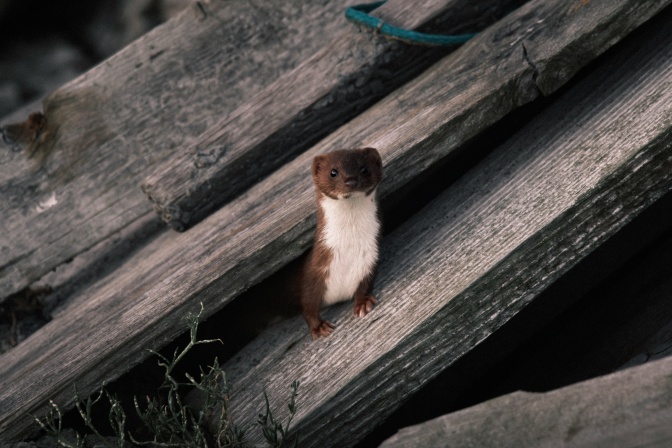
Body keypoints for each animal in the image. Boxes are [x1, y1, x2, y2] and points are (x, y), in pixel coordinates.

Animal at [300, 147, 384, 340]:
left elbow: (364, 284)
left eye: (363, 168)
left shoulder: (370, 257)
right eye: (333, 172)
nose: (351, 180)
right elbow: (307, 302)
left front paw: (363, 303)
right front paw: (319, 326)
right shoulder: (315, 269)